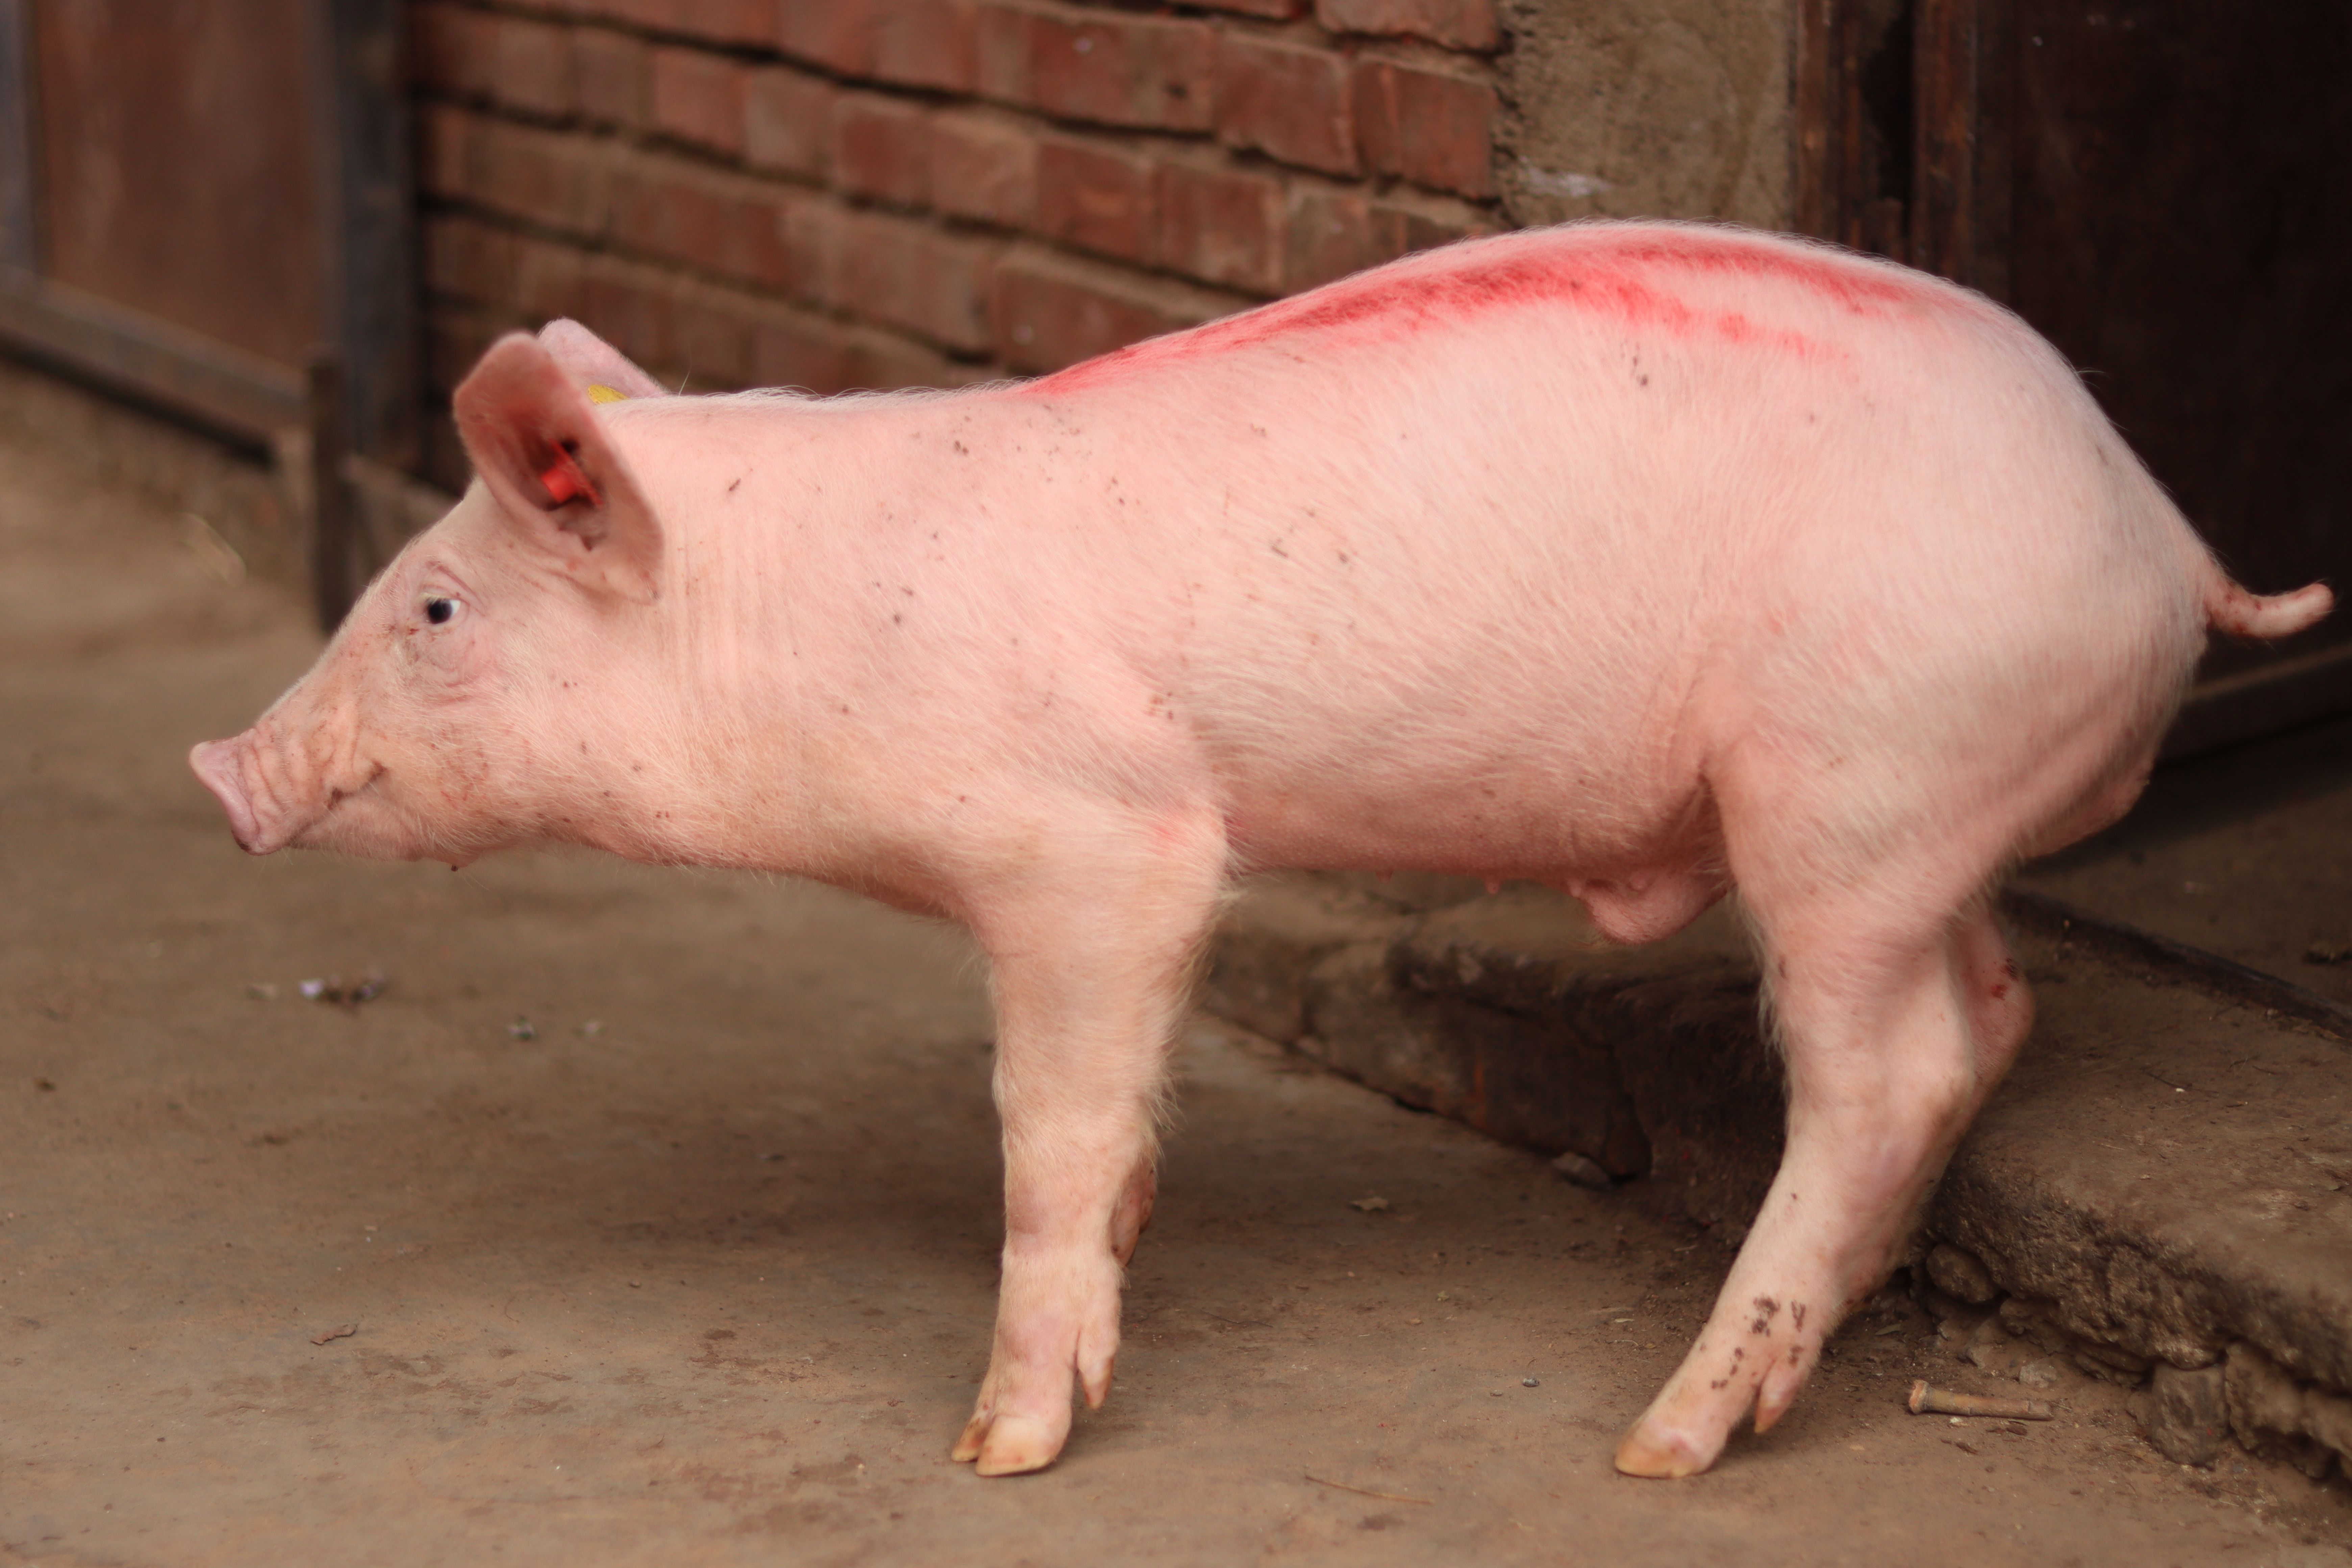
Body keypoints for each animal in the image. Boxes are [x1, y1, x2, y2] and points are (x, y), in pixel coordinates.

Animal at [191, 220, 2330, 1480]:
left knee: (1888, 1065)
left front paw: (1001, 1446)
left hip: (1851, 783)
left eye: (436, 609)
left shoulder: (1098, 838)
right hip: (1923, 818)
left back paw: (1663, 1441)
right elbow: (1131, 1106)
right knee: (1989, 1014)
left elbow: (1048, 1116)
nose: (220, 767)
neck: (784, 623)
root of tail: (2156, 529)